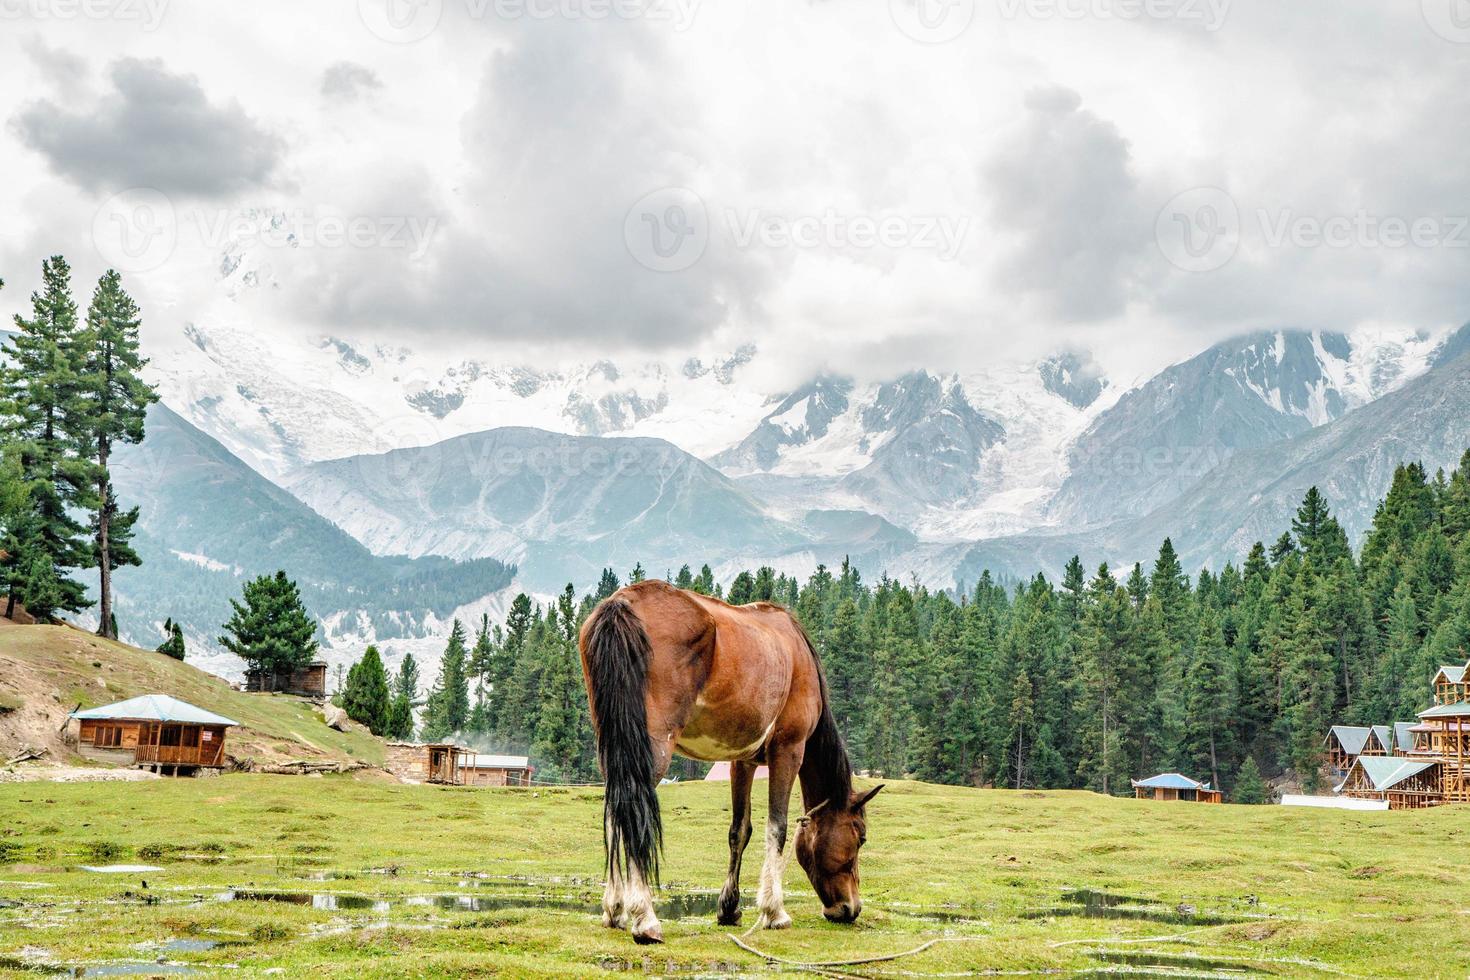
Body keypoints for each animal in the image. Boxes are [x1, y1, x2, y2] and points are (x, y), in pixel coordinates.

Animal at [576, 581, 876, 940]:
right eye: (860, 836)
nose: (850, 908)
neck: (796, 656)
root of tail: (623, 602)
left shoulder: (742, 761)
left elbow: (739, 830)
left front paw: (729, 908)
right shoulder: (788, 750)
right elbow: (777, 828)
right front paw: (774, 911)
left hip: (614, 746)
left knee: (614, 816)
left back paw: (615, 910)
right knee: (633, 812)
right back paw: (645, 917)